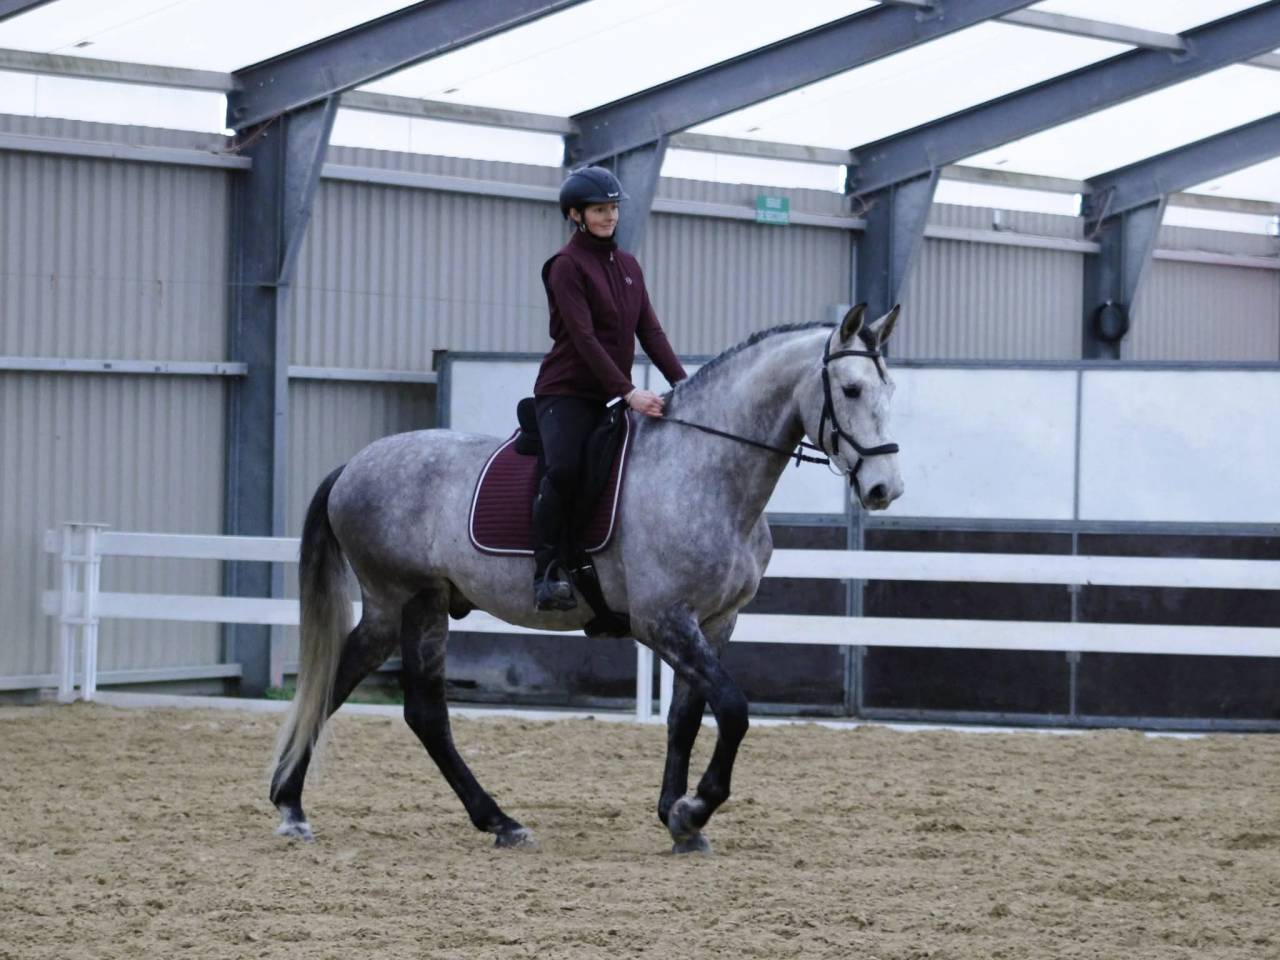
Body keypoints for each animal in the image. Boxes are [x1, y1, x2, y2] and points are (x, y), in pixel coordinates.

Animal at [270, 303, 904, 853]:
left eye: (889, 391)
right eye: (851, 390)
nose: (884, 489)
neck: (702, 468)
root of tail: (353, 465)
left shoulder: (715, 621)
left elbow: (685, 718)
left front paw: (678, 820)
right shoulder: (663, 621)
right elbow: (732, 708)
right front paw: (695, 809)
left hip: (405, 609)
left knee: (378, 698)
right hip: (407, 600)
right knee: (400, 706)